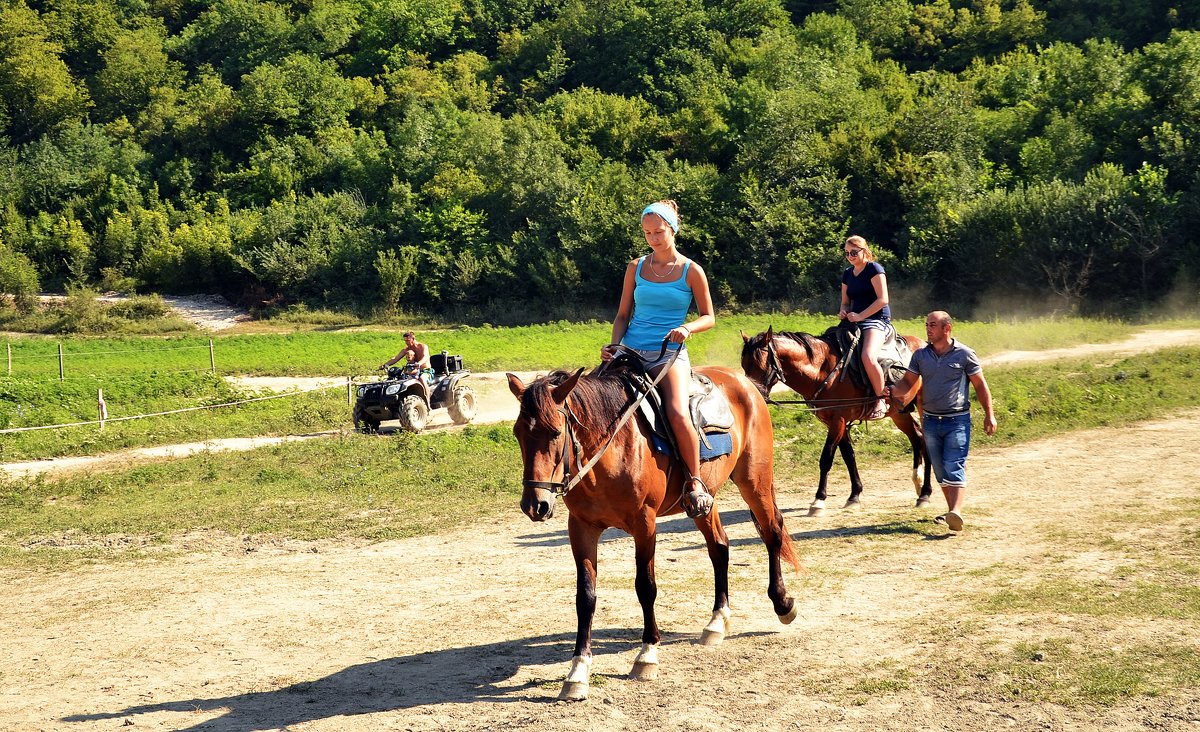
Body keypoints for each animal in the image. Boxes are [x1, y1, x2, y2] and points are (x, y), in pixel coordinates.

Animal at [506, 364, 796, 700]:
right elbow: (585, 597)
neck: (613, 449)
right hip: (703, 501)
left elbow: (645, 587)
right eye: (518, 433)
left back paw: (783, 603)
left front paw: (647, 655)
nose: (535, 504)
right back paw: (717, 621)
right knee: (719, 547)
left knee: (772, 532)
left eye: (555, 432)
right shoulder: (581, 527)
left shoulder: (644, 524)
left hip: (755, 480)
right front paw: (578, 671)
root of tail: (743, 381)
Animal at [739, 324, 936, 513]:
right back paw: (918, 482)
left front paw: (819, 500)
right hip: (898, 412)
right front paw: (854, 496)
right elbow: (849, 456)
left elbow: (826, 458)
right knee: (917, 436)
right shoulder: (835, 422)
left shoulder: (838, 420)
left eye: (762, 364)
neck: (822, 370)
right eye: (744, 365)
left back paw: (925, 494)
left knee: (926, 440)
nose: (754, 395)